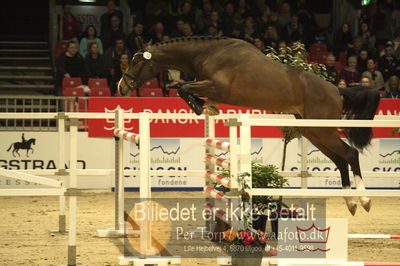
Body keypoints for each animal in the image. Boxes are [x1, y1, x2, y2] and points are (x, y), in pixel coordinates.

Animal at [117, 36, 380, 215]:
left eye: (136, 61)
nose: (121, 87)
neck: (208, 54)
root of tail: (337, 89)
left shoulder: (216, 87)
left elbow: (183, 87)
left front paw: (200, 107)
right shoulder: (212, 89)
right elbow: (186, 89)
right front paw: (207, 108)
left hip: (321, 129)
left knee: (350, 154)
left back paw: (364, 200)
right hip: (312, 131)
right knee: (340, 160)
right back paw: (351, 202)